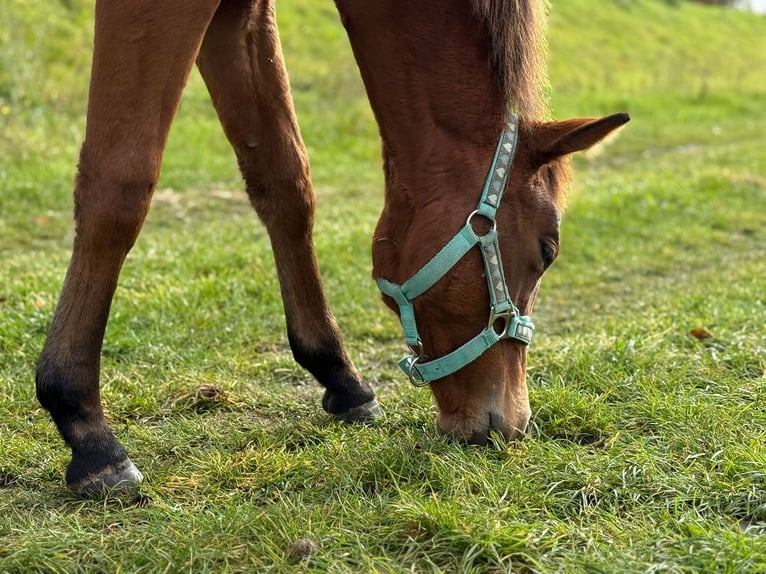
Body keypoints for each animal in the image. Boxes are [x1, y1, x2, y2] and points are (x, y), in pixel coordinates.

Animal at [35, 0, 629, 496]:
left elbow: (284, 177)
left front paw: (341, 377)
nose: (513, 423)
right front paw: (85, 425)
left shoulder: (240, 10)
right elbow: (120, 184)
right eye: (548, 250)